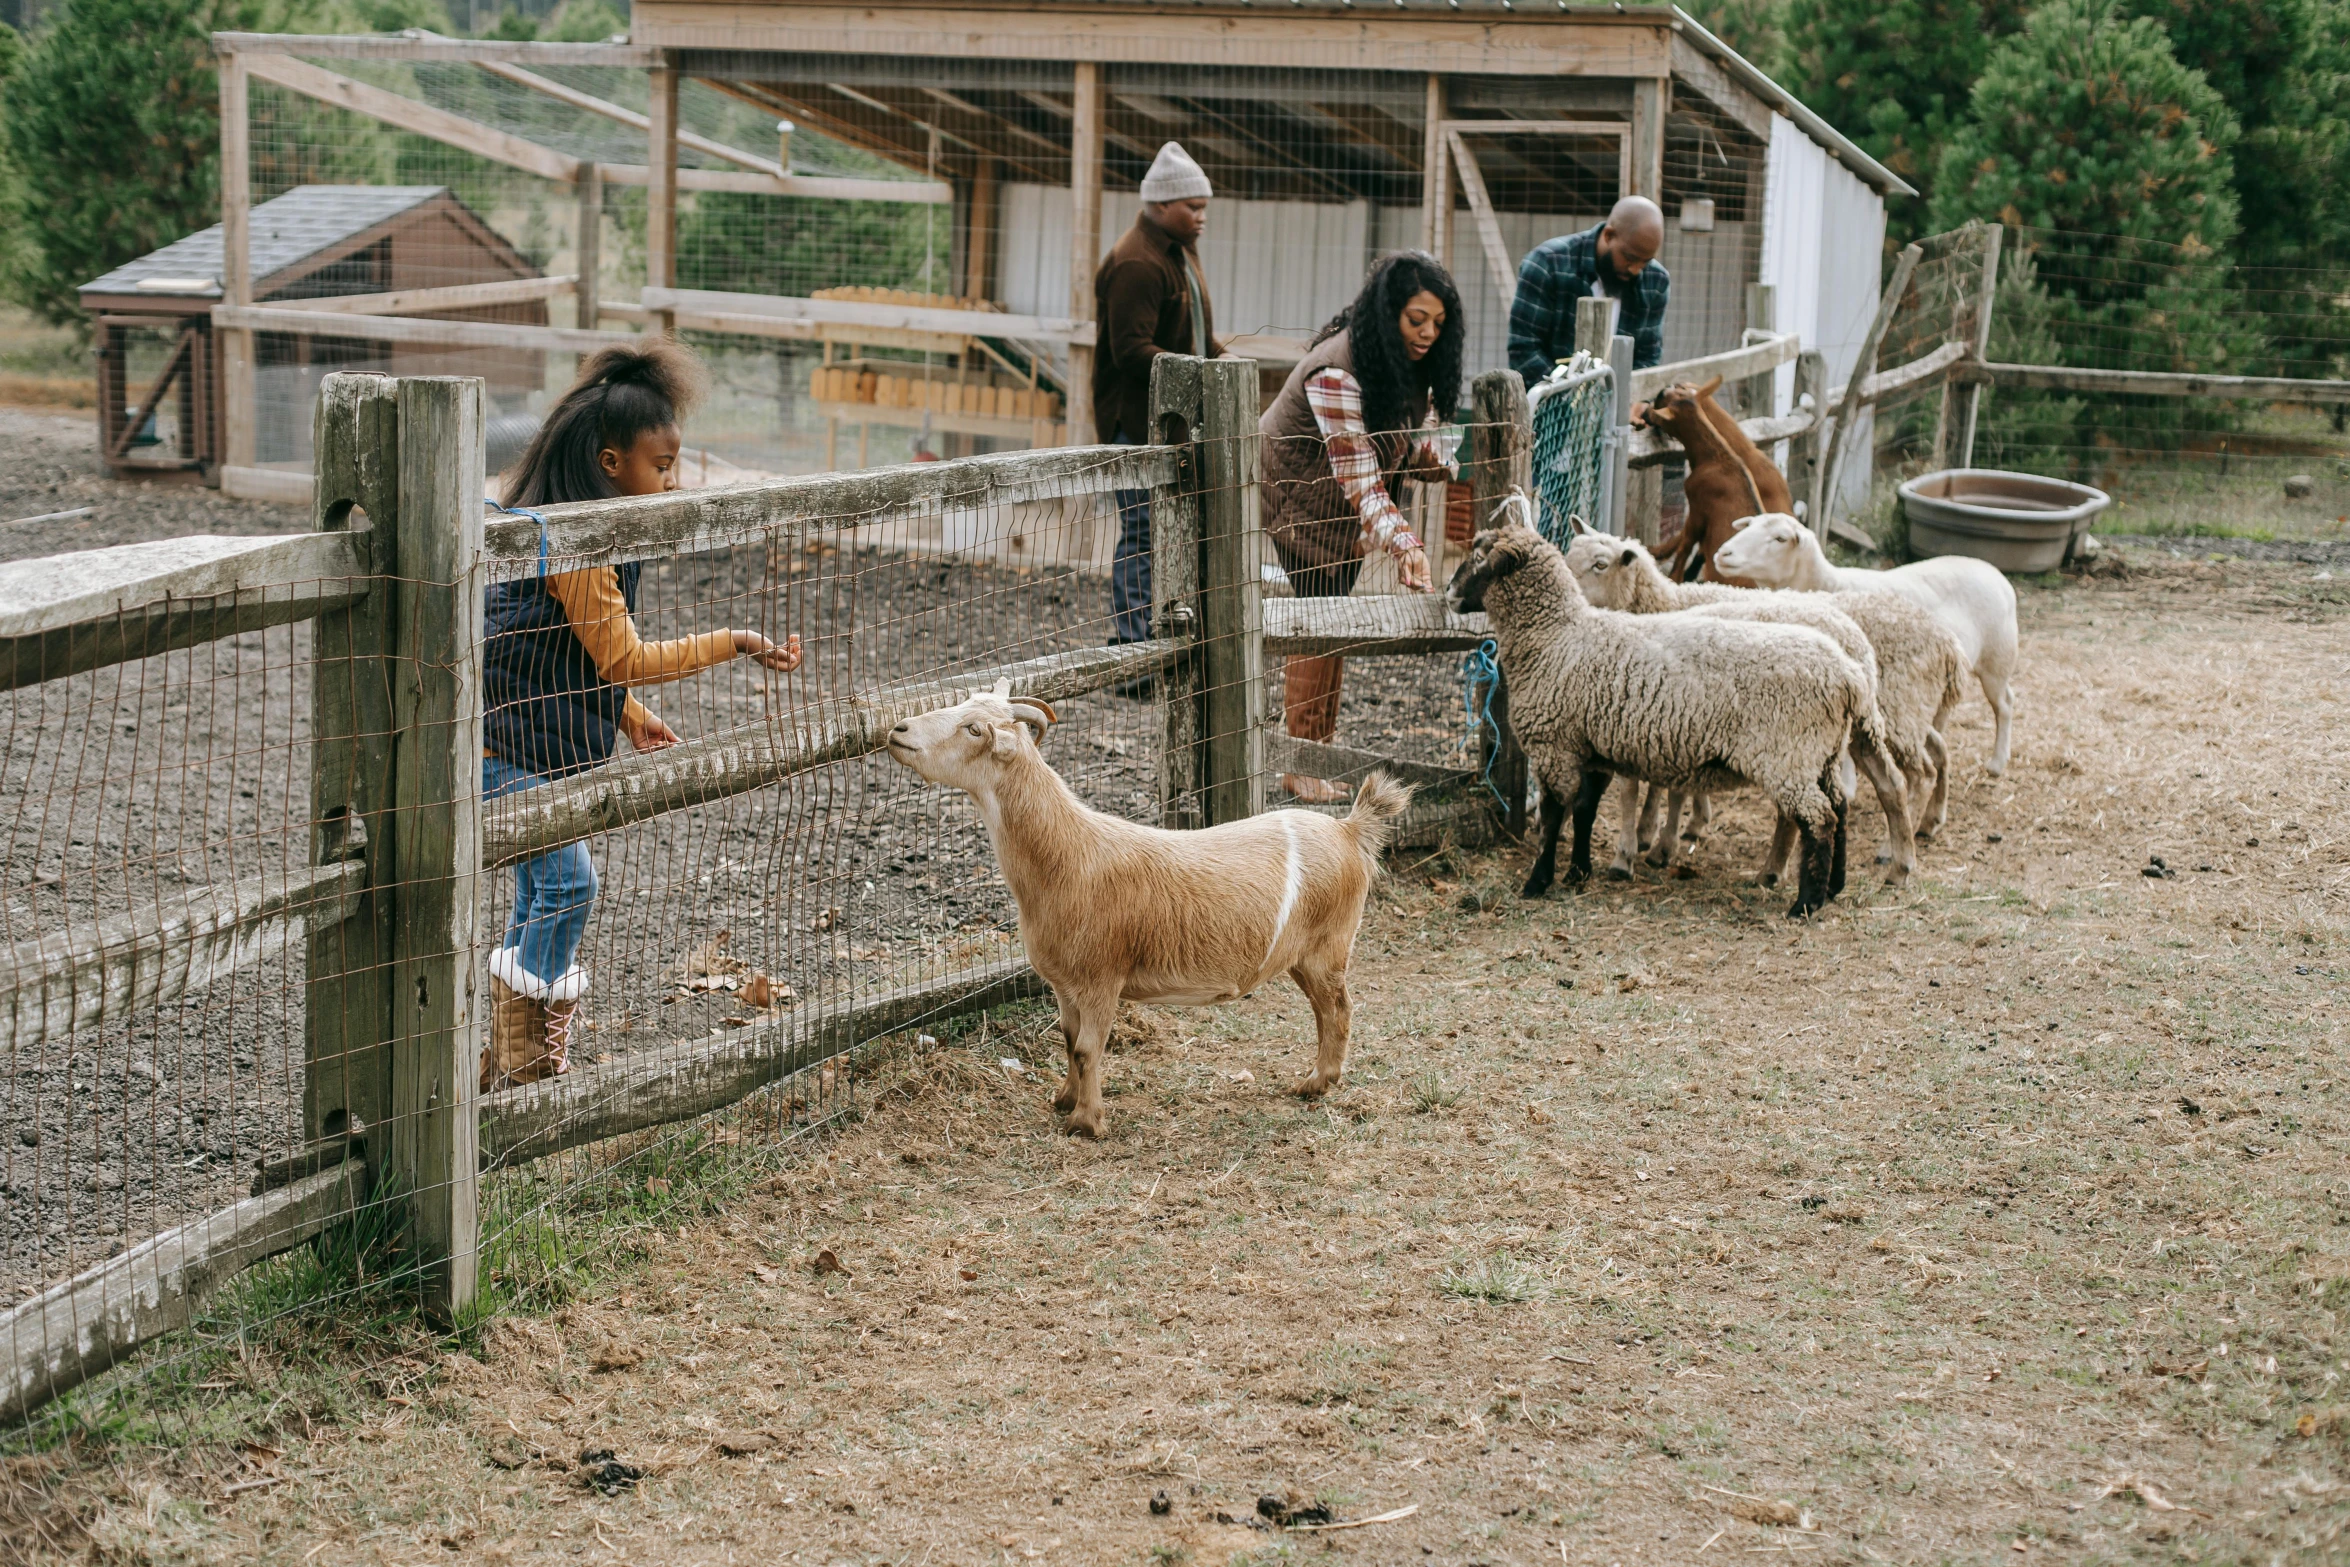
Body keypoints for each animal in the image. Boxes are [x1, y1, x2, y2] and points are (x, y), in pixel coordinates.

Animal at [883, 681, 1410, 1141]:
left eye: (974, 729)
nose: (899, 730)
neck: (1068, 856)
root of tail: (1350, 829)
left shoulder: (1101, 978)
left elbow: (1089, 1049)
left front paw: (1087, 1124)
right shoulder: (1064, 984)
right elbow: (1068, 1040)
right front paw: (1063, 1100)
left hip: (1329, 946)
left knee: (1338, 1009)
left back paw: (1316, 1083)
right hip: (1304, 955)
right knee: (1325, 1011)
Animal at [1447, 509, 1870, 920]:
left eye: (1480, 556)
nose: (1449, 592)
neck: (1555, 636)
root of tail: (1848, 675)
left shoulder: (1555, 746)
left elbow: (1553, 816)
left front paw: (1538, 881)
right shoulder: (1592, 748)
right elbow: (1585, 811)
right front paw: (1578, 873)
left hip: (1789, 754)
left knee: (1819, 819)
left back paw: (1805, 905)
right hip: (1822, 754)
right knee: (1840, 808)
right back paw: (1834, 886)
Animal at [1635, 375, 1795, 584]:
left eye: (1660, 399)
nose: (1645, 408)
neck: (1718, 456)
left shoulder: (1697, 510)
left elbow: (1685, 545)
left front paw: (1670, 575)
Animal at [1710, 514, 2020, 779]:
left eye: (1780, 538)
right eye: (1749, 526)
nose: (1723, 554)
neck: (1826, 582)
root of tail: (1994, 572)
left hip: (1997, 660)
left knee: (2004, 704)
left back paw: (1997, 763)